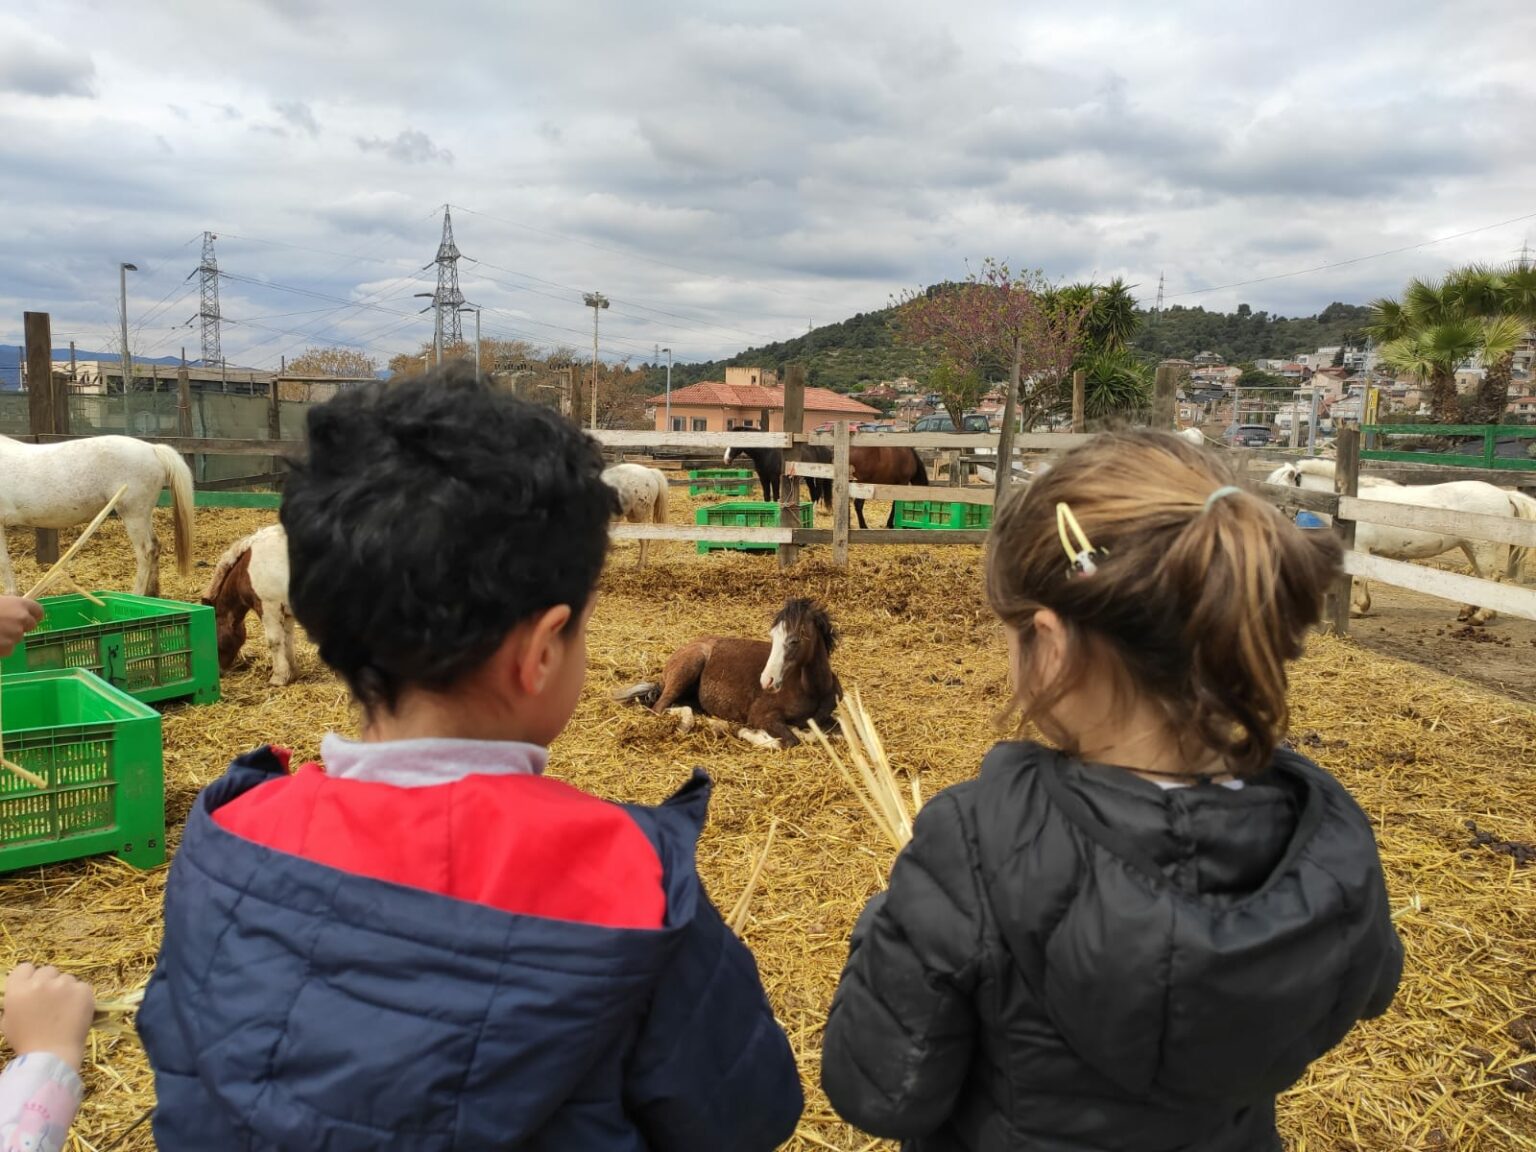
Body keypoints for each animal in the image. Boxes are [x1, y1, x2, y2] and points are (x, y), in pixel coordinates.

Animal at [0, 434, 194, 597]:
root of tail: (153, 449)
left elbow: (3, 562)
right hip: (143, 515)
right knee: (155, 546)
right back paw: (152, 594)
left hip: (133, 515)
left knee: (146, 551)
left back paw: (137, 595)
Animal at [201, 525, 297, 686]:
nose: (219, 673)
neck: (246, 571)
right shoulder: (286, 610)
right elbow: (287, 639)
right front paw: (292, 672)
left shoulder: (269, 607)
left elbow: (274, 641)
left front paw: (279, 677)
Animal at [611, 597, 841, 749]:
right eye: (773, 637)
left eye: (794, 640)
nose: (766, 681)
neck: (811, 690)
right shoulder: (762, 715)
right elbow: (790, 740)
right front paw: (752, 734)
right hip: (689, 668)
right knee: (658, 708)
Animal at [1265, 460, 1536, 624]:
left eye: (1278, 490)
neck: (1349, 505)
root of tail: (1505, 494)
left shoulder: (1361, 549)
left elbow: (1360, 578)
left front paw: (1358, 608)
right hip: (1470, 547)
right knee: (1480, 580)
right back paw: (1467, 611)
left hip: (1482, 547)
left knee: (1490, 579)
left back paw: (1481, 616)